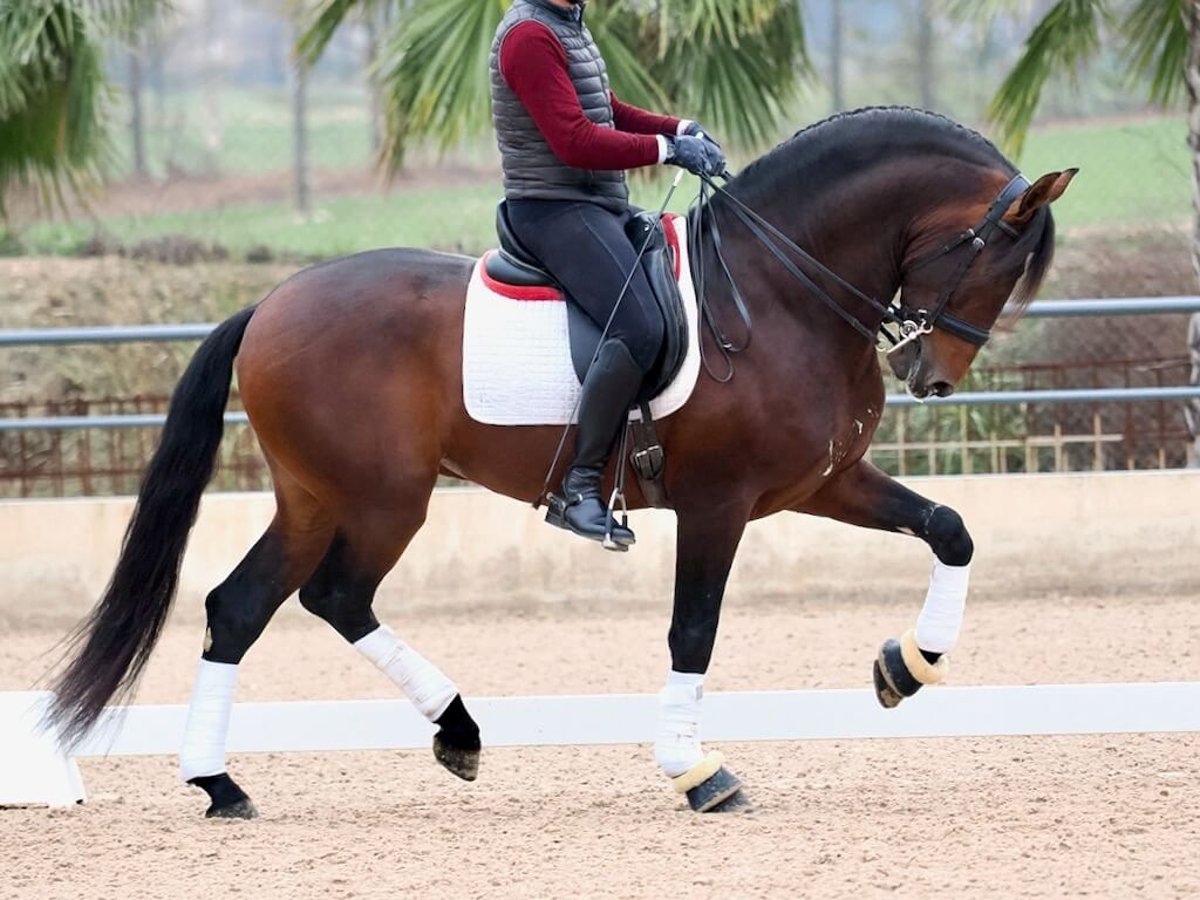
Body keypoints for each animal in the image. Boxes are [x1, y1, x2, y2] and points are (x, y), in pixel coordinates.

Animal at [51, 105, 1075, 816]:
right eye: (994, 262)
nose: (931, 377)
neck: (779, 290)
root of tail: (268, 305)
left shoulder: (820, 484)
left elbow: (950, 530)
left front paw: (907, 666)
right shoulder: (719, 503)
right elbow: (693, 632)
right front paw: (696, 770)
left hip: (314, 496)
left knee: (241, 607)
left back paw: (223, 782)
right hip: (384, 498)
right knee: (334, 596)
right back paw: (450, 730)